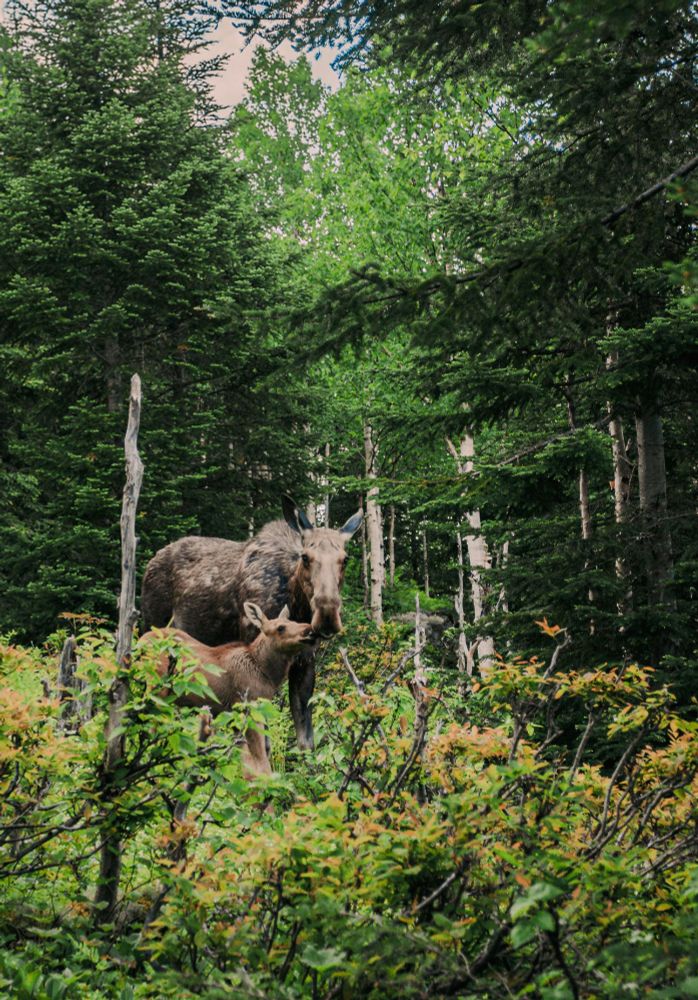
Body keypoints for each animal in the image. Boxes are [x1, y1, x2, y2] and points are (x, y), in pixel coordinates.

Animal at [141, 496, 363, 753]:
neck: (296, 603)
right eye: (305, 557)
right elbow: (263, 741)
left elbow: (306, 740)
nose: (327, 614)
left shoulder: (306, 661)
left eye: (345, 559)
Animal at [141, 602, 317, 777]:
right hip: (156, 690)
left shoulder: (235, 717)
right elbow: (261, 763)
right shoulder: (250, 708)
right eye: (280, 627)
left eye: (293, 621)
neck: (266, 672)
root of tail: (140, 642)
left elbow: (247, 767)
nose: (309, 630)